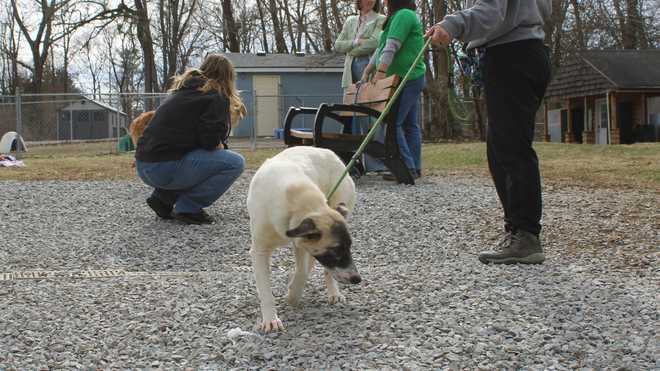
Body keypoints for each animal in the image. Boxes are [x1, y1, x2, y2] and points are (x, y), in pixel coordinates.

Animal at [248, 147, 360, 332]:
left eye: (350, 247)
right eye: (336, 250)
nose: (357, 279)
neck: (296, 200)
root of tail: (328, 152)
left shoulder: (301, 244)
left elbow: (303, 272)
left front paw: (293, 295)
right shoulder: (259, 250)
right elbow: (265, 291)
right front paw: (270, 319)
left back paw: (334, 293)